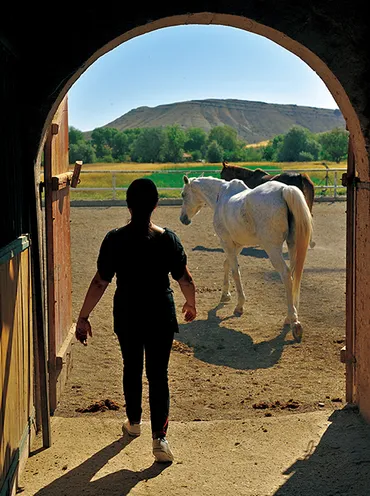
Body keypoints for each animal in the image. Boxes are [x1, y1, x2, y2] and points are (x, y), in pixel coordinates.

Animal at [179, 174, 312, 340]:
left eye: (183, 195)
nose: (183, 219)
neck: (221, 195)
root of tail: (284, 190)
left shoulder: (226, 241)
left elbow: (235, 271)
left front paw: (239, 305)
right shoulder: (238, 244)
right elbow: (227, 264)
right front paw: (225, 295)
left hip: (272, 249)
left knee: (286, 275)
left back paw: (293, 322)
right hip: (293, 246)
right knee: (294, 276)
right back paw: (291, 315)